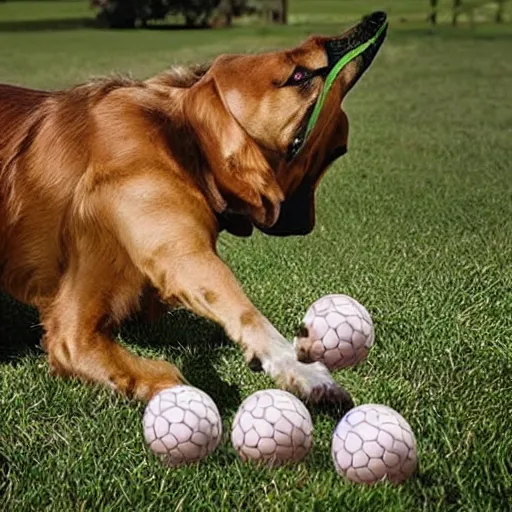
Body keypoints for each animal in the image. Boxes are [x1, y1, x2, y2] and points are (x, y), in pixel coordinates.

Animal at [0, 12, 386, 408]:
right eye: (298, 75)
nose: (375, 18)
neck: (181, 145)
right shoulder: (171, 258)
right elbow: (223, 323)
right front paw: (302, 370)